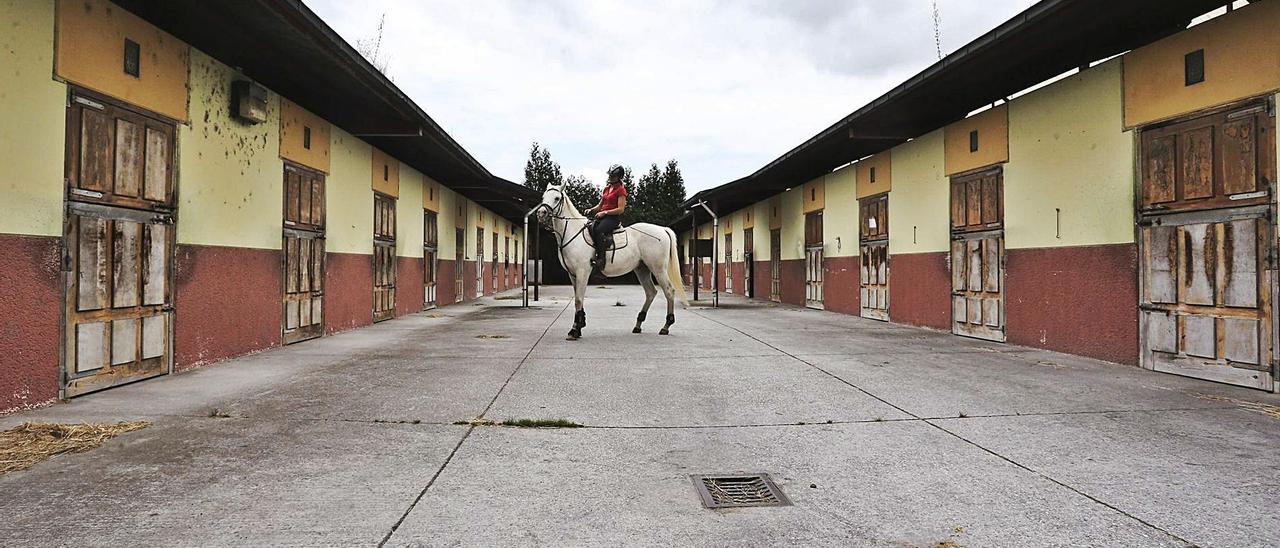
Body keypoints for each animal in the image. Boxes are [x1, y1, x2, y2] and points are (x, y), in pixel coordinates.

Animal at [532, 181, 686, 340]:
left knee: (669, 291)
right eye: (543, 197)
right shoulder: (573, 274)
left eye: (557, 198)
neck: (572, 233)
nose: (541, 213)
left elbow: (578, 299)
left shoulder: (582, 272)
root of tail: (663, 229)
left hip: (658, 269)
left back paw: (666, 326)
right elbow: (578, 299)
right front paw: (578, 327)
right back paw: (638, 325)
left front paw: (575, 330)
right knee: (651, 292)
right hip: (642, 269)